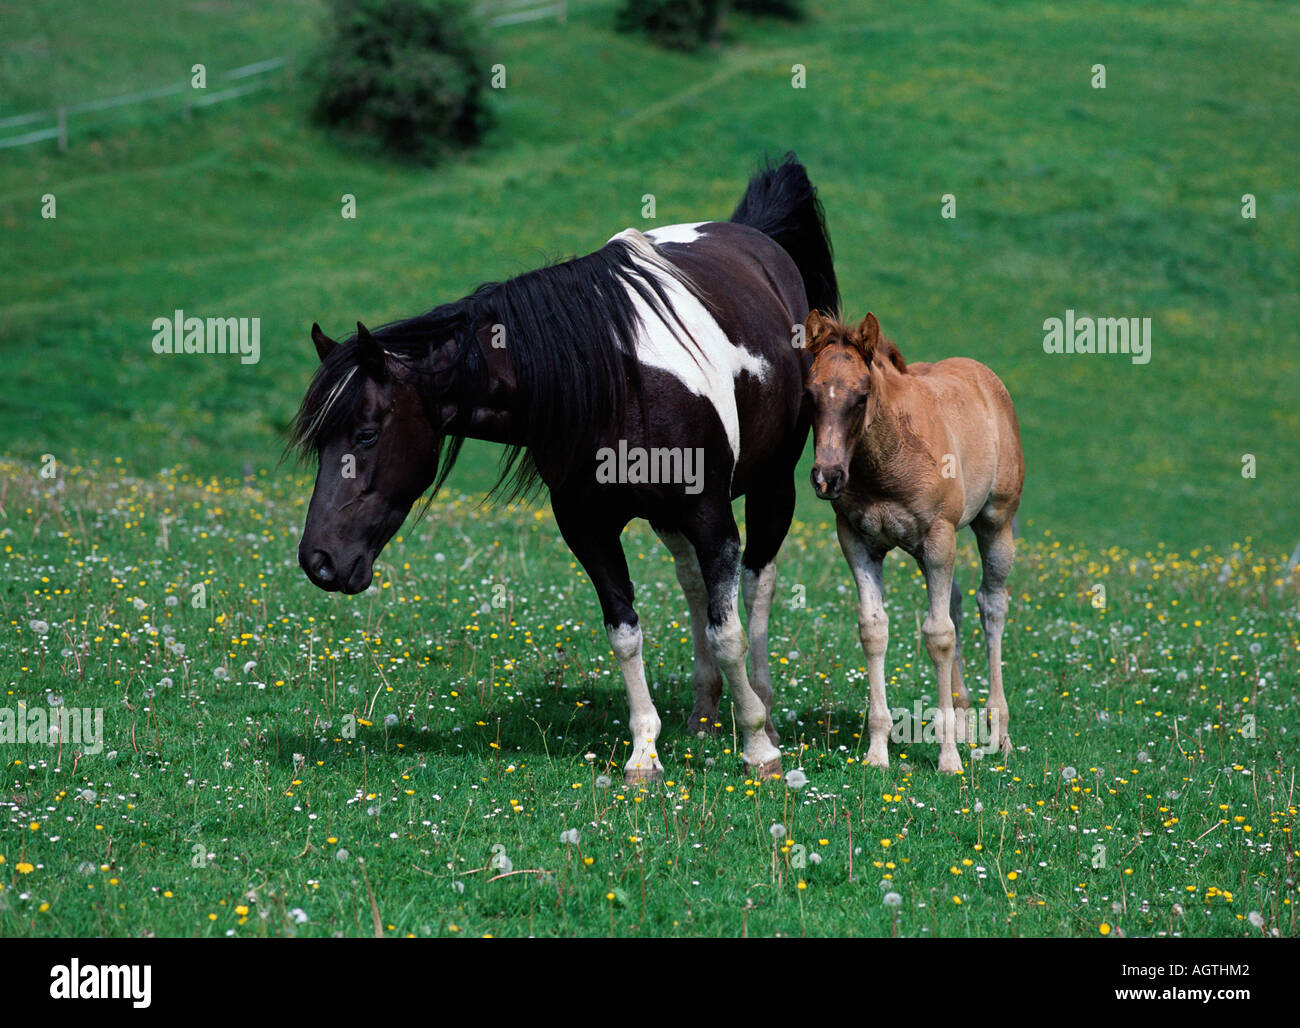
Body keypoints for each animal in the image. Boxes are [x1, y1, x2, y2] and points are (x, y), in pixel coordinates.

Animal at [291, 154, 839, 785]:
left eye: (366, 434)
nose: (319, 561)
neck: (616, 379)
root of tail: (754, 237)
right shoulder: (588, 526)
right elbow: (625, 631)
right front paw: (644, 752)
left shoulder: (711, 517)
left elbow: (728, 633)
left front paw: (757, 746)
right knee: (695, 585)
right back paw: (703, 711)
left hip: (772, 487)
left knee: (756, 584)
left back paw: (764, 709)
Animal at [802, 310, 1023, 773]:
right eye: (809, 393)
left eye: (861, 396)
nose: (827, 477)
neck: (883, 465)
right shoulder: (857, 541)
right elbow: (874, 629)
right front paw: (877, 752)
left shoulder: (939, 536)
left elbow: (938, 635)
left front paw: (948, 758)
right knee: (956, 602)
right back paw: (966, 722)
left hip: (995, 522)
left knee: (991, 604)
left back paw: (999, 733)